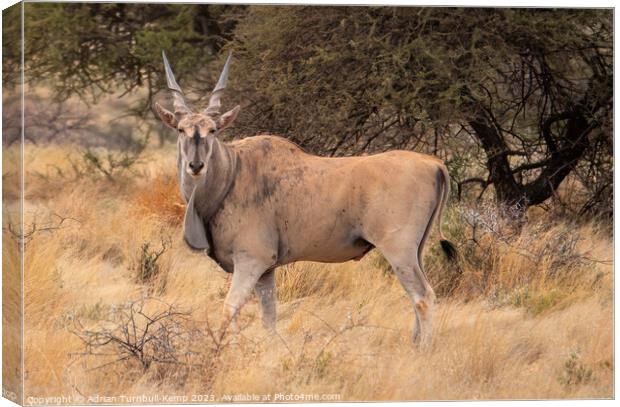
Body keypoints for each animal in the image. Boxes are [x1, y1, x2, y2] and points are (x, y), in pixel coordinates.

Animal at [153, 51, 458, 344]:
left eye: (213, 130)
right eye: (181, 129)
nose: (195, 165)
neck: (232, 172)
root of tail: (433, 163)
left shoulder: (251, 261)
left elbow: (230, 309)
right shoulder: (266, 271)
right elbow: (269, 319)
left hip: (398, 250)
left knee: (423, 297)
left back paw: (422, 351)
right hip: (416, 251)